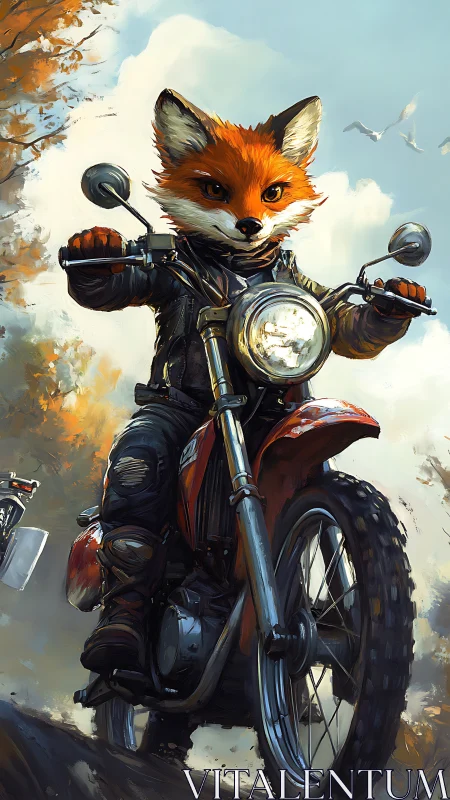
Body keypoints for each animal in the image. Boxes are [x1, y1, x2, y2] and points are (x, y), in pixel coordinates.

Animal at [64, 89, 426, 676]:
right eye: (214, 189)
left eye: (274, 192)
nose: (252, 225)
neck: (239, 265)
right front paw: (92, 251)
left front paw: (396, 300)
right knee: (133, 507)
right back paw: (115, 639)